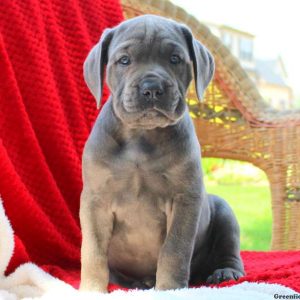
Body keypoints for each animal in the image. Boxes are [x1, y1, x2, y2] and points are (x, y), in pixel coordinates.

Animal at [79, 14, 244, 292]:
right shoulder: (95, 200)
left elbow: (174, 249)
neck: (141, 137)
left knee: (229, 248)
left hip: (223, 211)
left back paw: (225, 272)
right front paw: (91, 288)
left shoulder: (184, 199)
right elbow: (93, 251)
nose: (152, 87)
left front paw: (170, 289)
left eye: (175, 59)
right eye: (124, 60)